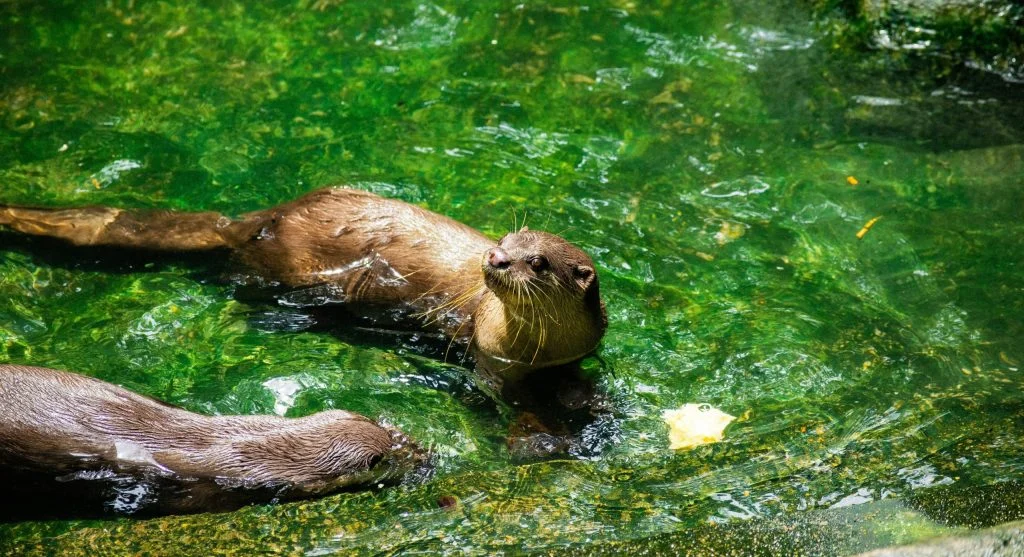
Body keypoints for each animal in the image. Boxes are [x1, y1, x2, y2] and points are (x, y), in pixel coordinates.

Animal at [0, 188, 607, 390]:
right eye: (503, 239)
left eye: (537, 262)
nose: (496, 258)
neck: (542, 350)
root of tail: (264, 219)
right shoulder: (492, 358)